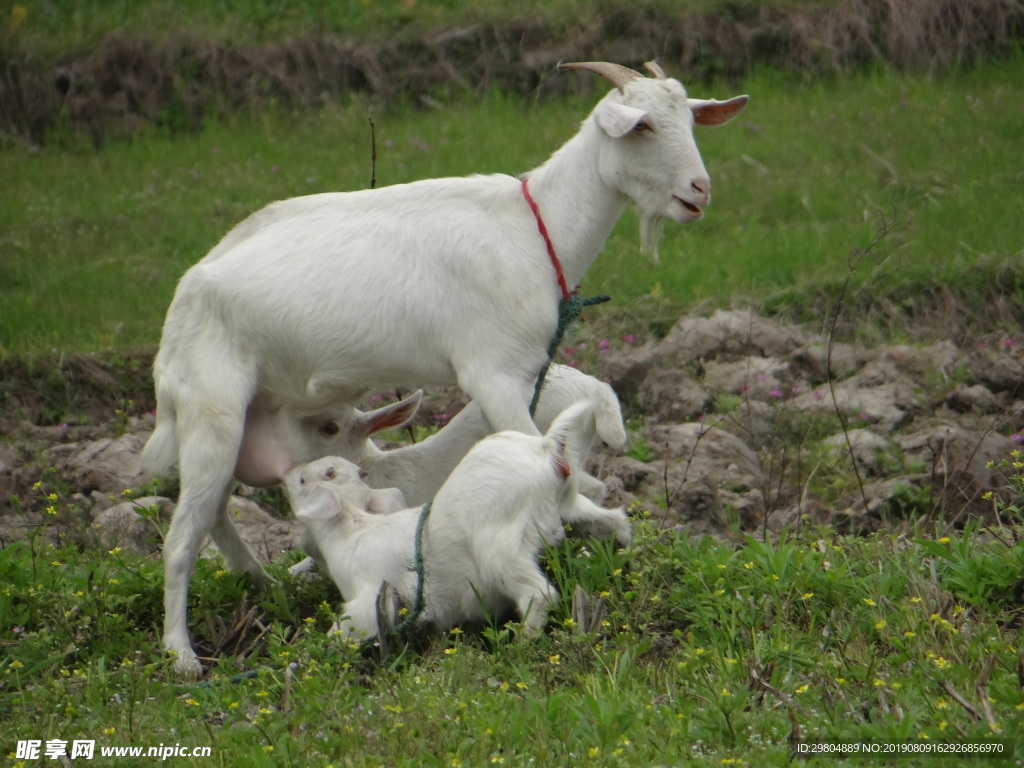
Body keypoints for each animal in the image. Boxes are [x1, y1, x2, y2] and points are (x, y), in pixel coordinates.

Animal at [144, 58, 749, 671]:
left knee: (216, 513)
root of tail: (181, 303)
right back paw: (183, 656)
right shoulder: (494, 373)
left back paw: (266, 585)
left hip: (244, 420)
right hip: (212, 411)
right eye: (641, 126)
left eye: (689, 118)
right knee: (181, 538)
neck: (535, 231)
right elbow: (541, 452)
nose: (699, 190)